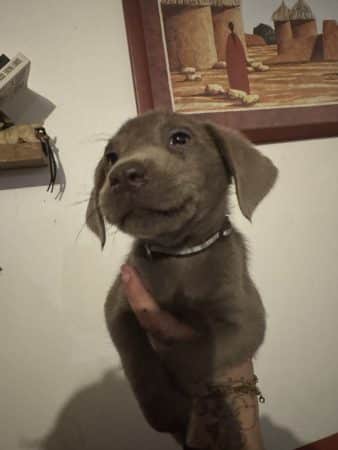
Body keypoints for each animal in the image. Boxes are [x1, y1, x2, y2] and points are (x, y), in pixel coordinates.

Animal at [86, 111, 278, 440]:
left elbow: (194, 355)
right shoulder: (118, 305)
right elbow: (138, 357)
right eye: (111, 157)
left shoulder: (246, 320)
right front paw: (165, 409)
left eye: (180, 138)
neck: (180, 254)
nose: (123, 175)